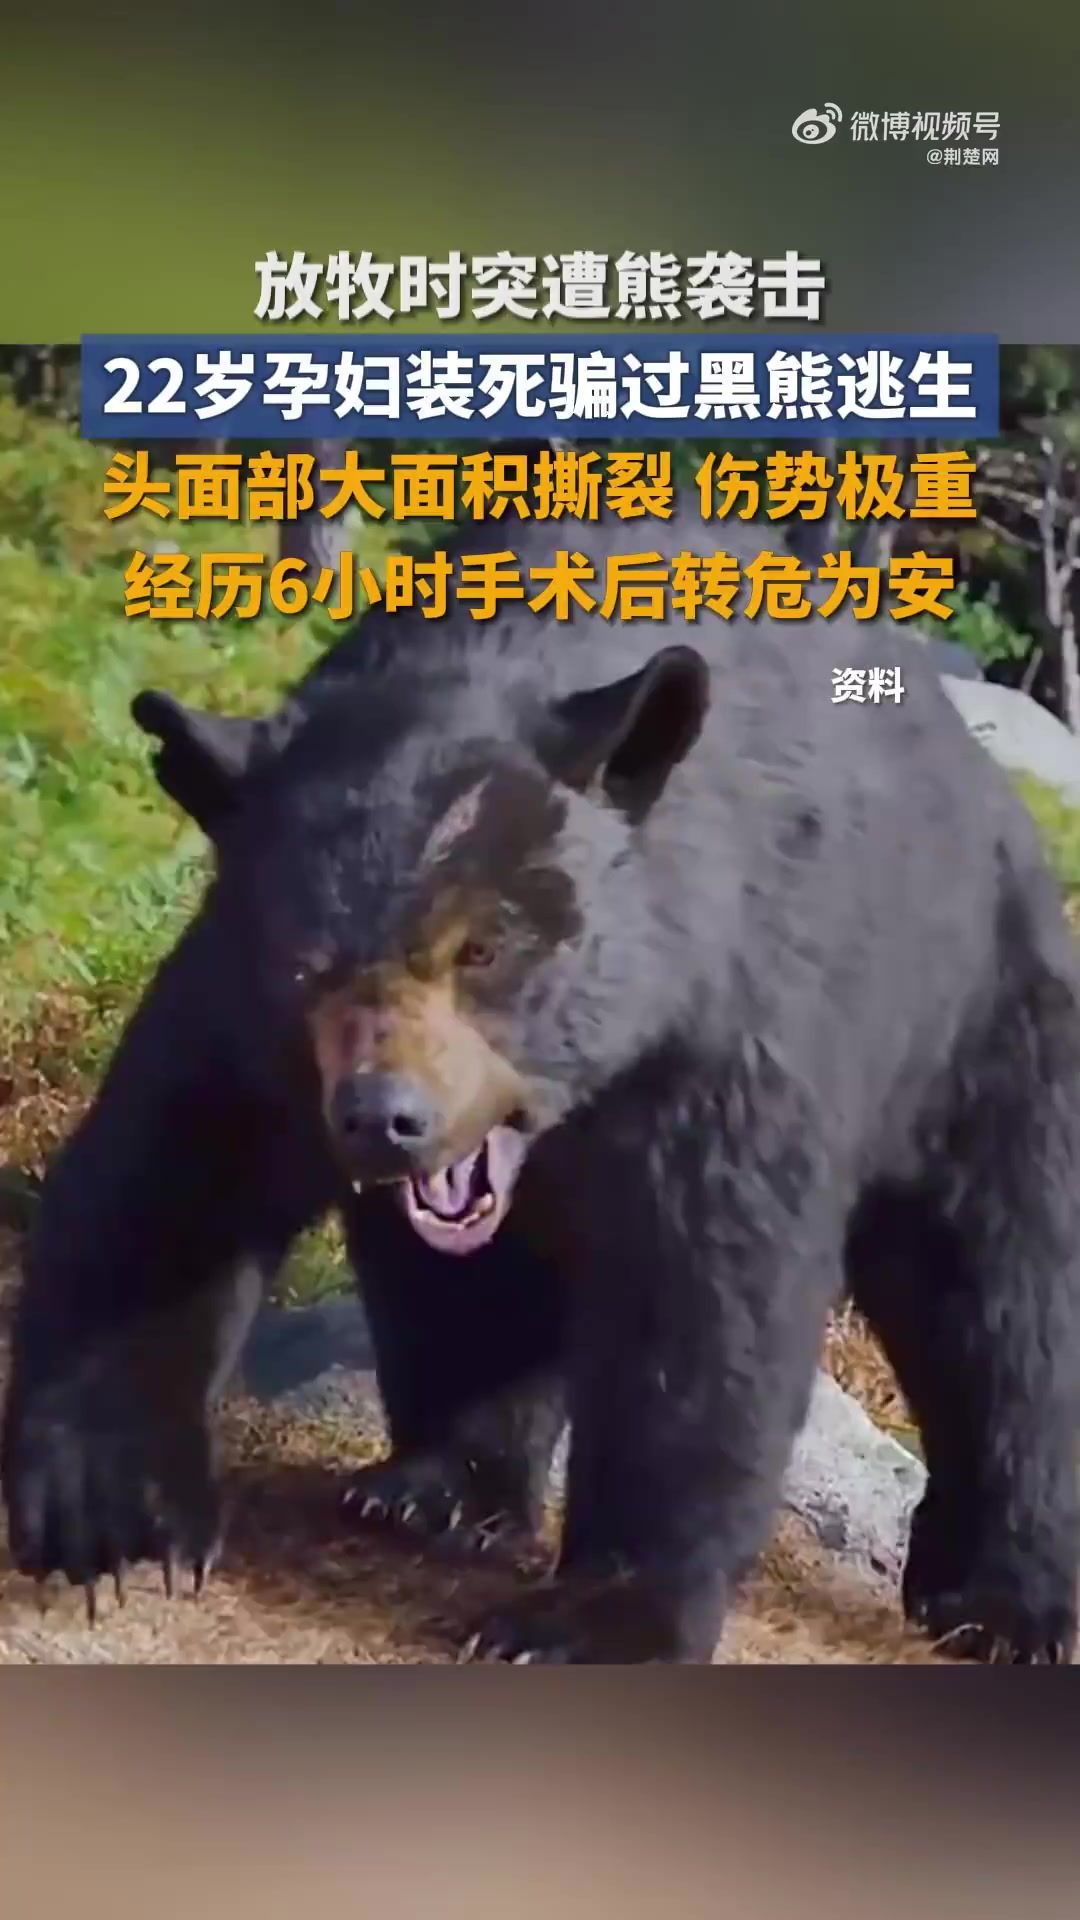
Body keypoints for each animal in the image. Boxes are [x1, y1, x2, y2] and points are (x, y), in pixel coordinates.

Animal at [4, 492, 1080, 1664]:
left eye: (484, 948)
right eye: (304, 960)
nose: (383, 1118)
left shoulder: (726, 1032)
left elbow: (700, 1300)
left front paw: (596, 1613)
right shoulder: (243, 1021)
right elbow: (164, 1192)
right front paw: (115, 1524)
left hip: (980, 1022)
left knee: (1005, 1295)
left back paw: (1010, 1601)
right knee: (469, 1294)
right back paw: (434, 1490)